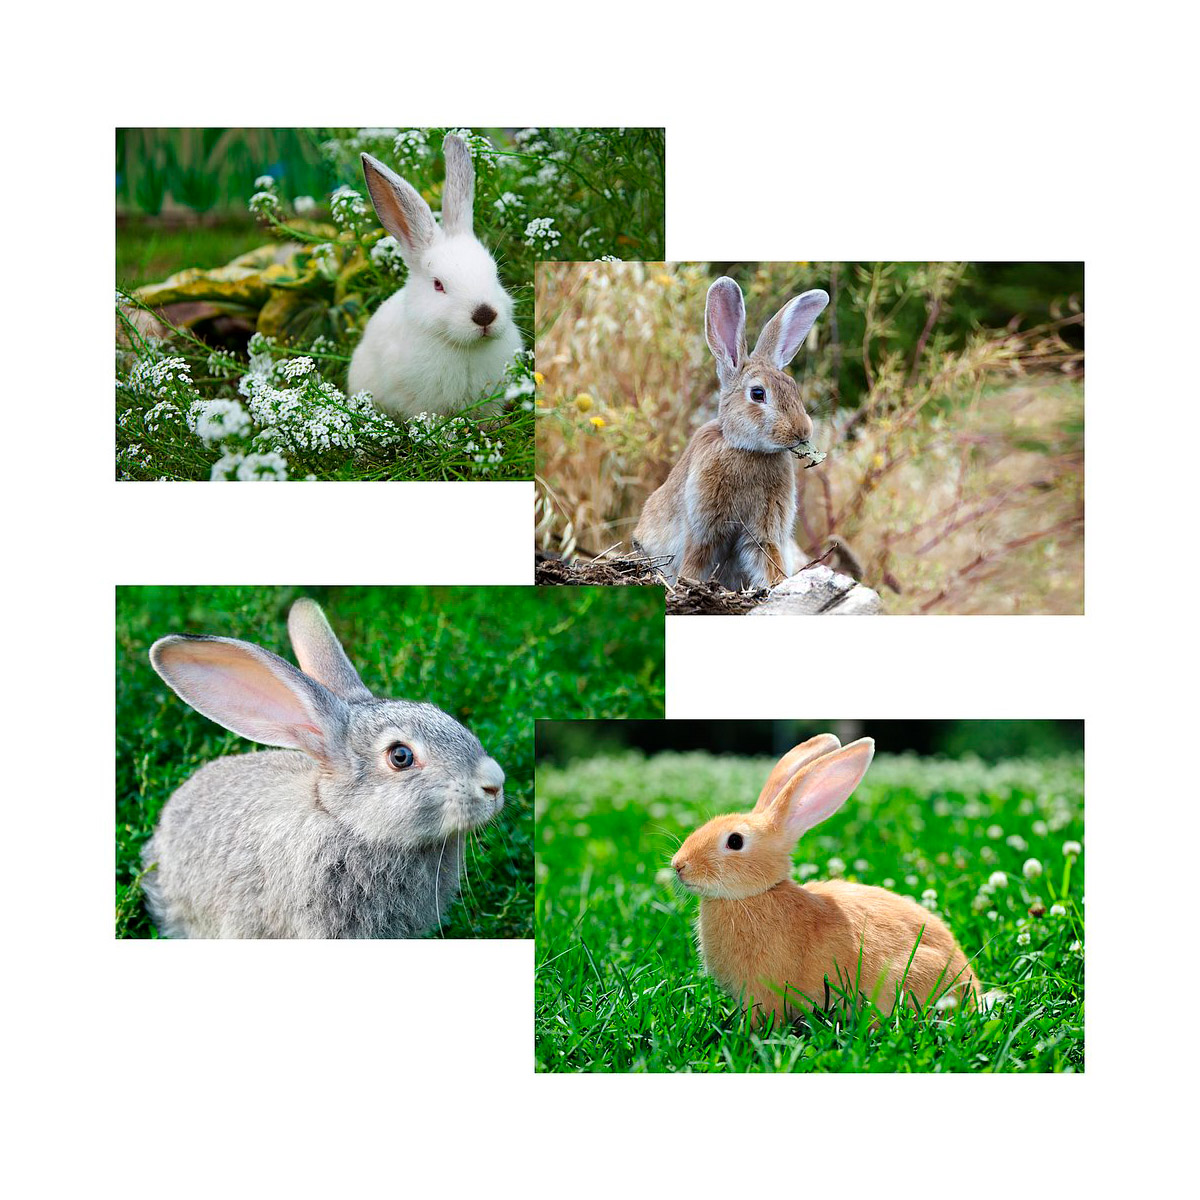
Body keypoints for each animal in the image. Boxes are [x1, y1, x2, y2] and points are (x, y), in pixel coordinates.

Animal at [633, 276, 830, 589]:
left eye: (793, 387)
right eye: (758, 394)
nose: (802, 431)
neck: (747, 450)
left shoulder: (764, 531)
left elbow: (768, 558)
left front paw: (778, 584)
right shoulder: (704, 528)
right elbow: (696, 561)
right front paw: (687, 585)